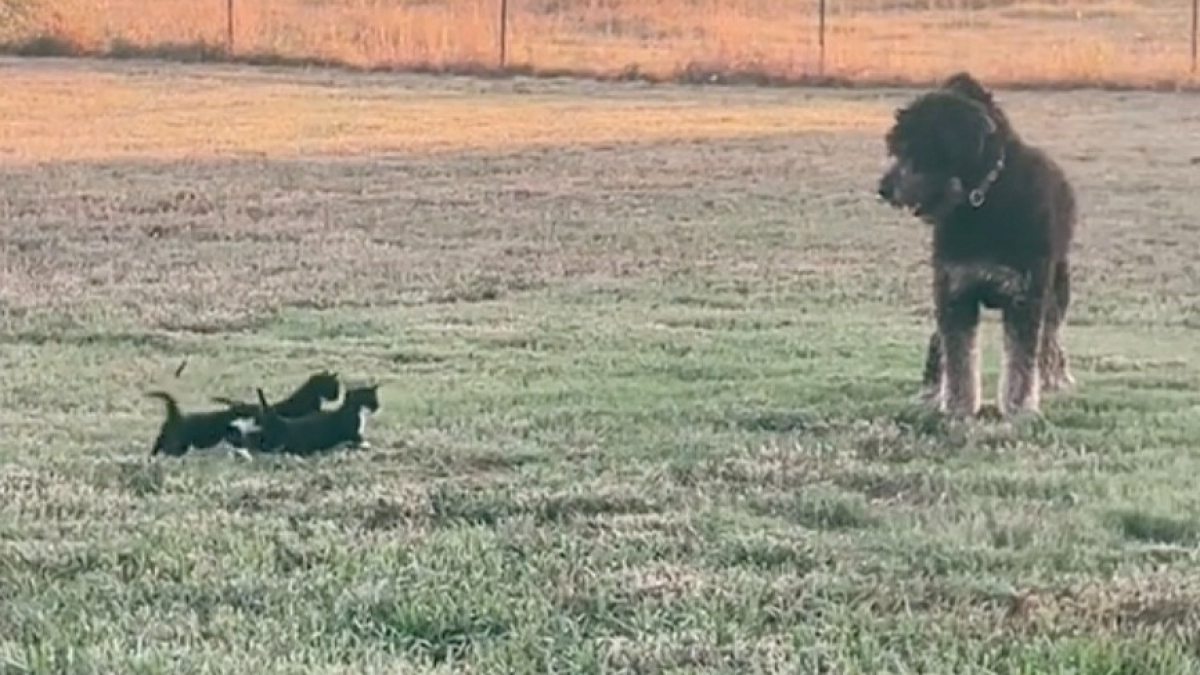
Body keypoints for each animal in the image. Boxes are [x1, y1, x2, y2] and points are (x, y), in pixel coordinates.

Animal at [883, 74, 1080, 420]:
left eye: (915, 146)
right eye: (897, 147)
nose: (883, 188)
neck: (981, 203)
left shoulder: (1024, 297)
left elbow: (1022, 361)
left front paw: (1019, 407)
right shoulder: (955, 292)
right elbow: (958, 359)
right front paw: (957, 408)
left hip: (1057, 285)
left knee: (1051, 335)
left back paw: (1053, 376)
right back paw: (932, 387)